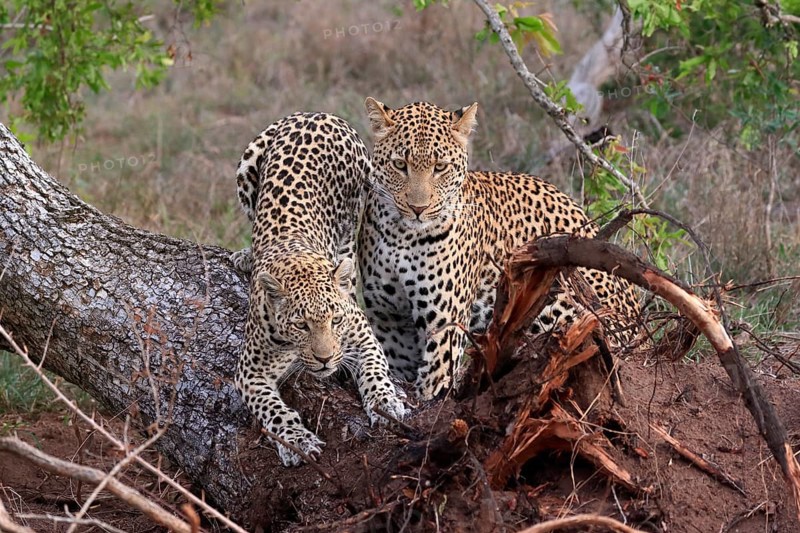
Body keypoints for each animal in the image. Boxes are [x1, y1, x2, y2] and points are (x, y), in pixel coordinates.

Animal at [232, 112, 406, 466]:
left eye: (335, 320)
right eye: (301, 325)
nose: (325, 360)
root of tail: (318, 114)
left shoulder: (362, 334)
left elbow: (375, 369)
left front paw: (386, 403)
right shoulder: (249, 371)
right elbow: (273, 409)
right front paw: (296, 441)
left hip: (354, 216)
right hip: (247, 168)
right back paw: (246, 256)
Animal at [358, 98, 640, 401]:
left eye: (440, 167)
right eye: (400, 165)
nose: (418, 208)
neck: (401, 235)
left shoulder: (444, 324)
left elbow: (434, 385)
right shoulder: (389, 319)